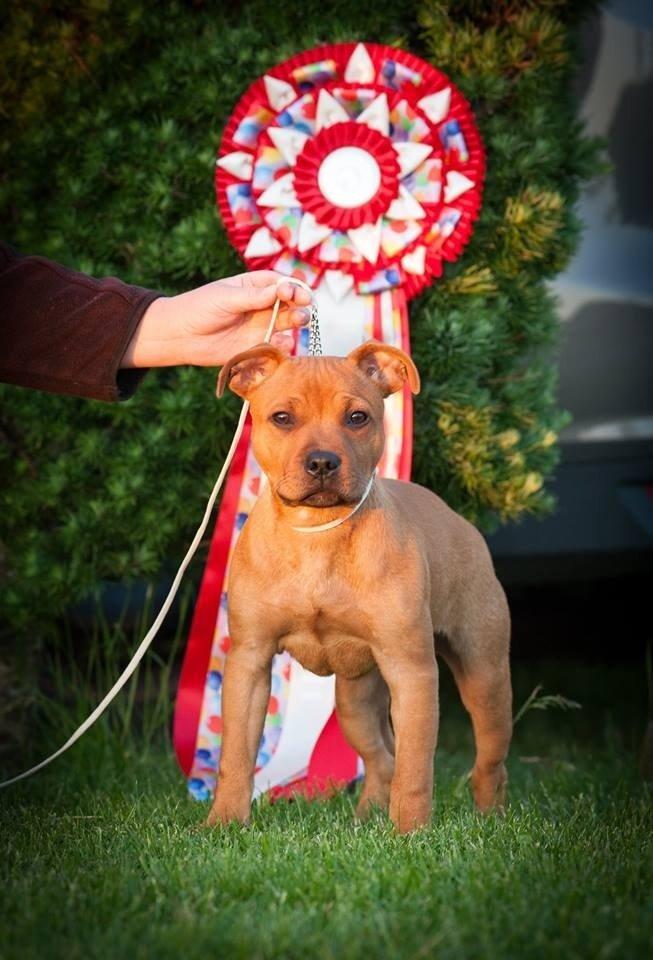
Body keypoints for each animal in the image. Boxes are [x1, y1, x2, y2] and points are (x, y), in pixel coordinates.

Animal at [206, 340, 512, 832]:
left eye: (357, 417)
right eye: (282, 418)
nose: (322, 462)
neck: (318, 530)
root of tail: (457, 519)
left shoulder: (412, 671)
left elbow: (416, 766)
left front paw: (411, 833)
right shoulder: (249, 663)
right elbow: (235, 755)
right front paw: (223, 823)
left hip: (484, 675)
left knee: (487, 760)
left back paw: (490, 819)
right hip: (357, 701)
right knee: (382, 758)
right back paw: (366, 820)